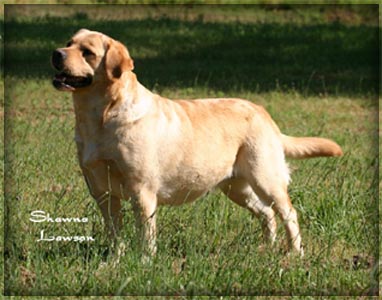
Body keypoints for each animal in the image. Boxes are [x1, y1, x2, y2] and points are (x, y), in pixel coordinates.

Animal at [51, 28, 344, 258]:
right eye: (69, 42)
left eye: (87, 52)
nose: (56, 53)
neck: (99, 116)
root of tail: (263, 112)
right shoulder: (102, 192)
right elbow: (114, 233)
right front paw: (115, 260)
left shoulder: (141, 190)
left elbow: (146, 235)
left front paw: (145, 262)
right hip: (237, 186)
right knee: (266, 213)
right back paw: (267, 248)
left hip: (265, 178)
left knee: (288, 213)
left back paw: (295, 252)